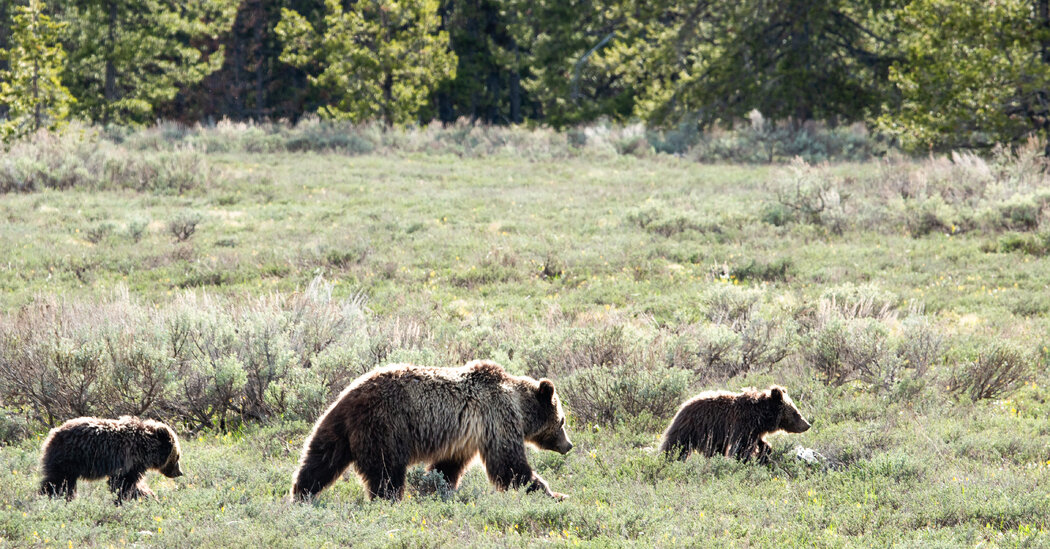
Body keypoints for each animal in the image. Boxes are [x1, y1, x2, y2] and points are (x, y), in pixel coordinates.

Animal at [39, 416, 184, 503]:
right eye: (177, 456)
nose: (179, 472)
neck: (144, 449)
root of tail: (53, 432)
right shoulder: (127, 461)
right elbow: (123, 484)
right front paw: (143, 497)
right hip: (70, 458)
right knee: (59, 481)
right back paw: (51, 496)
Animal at [291, 360, 573, 502]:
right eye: (562, 421)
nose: (568, 445)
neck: (519, 407)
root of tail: (349, 396)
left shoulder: (464, 438)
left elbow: (447, 467)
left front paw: (436, 488)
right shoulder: (497, 420)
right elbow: (510, 466)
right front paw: (554, 493)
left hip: (337, 426)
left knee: (320, 459)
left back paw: (301, 494)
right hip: (385, 426)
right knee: (386, 471)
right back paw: (389, 500)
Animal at [659, 385, 810, 463]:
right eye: (795, 412)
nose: (807, 425)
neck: (761, 416)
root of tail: (683, 405)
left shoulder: (754, 430)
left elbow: (759, 443)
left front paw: (765, 452)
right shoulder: (742, 424)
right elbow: (742, 447)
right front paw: (742, 460)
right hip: (693, 428)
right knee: (676, 445)